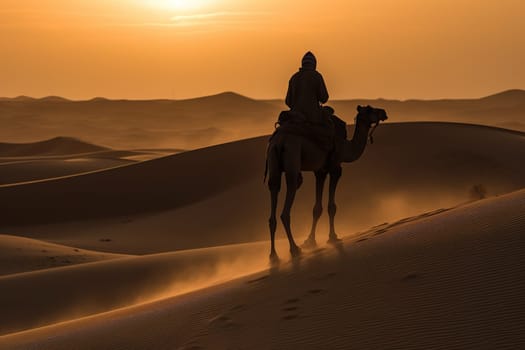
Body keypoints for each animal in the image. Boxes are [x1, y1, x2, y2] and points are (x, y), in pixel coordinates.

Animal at [266, 105, 384, 262]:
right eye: (370, 109)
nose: (384, 113)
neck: (346, 147)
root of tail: (280, 142)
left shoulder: (320, 171)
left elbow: (317, 208)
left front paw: (311, 241)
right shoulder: (335, 168)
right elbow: (331, 207)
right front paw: (333, 237)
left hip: (273, 163)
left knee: (274, 190)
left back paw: (274, 256)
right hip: (292, 158)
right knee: (287, 205)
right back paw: (294, 249)